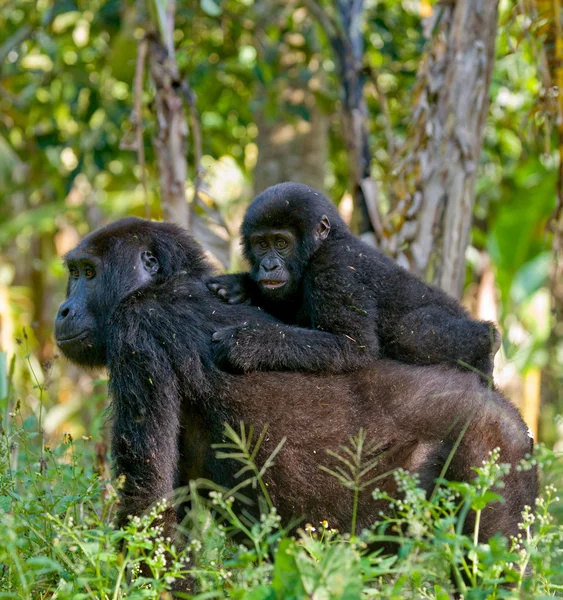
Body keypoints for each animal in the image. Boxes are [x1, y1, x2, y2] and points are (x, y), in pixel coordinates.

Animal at [55, 219, 536, 584]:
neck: (170, 281)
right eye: (73, 272)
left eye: (89, 273)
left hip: (491, 447)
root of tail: (511, 415)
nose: (62, 310)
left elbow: (148, 501)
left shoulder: (137, 328)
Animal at [209, 183, 500, 380]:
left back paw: (488, 341)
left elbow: (350, 345)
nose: (269, 266)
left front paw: (243, 343)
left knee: (408, 333)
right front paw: (239, 285)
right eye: (261, 244)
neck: (324, 243)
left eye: (281, 243)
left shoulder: (335, 268)